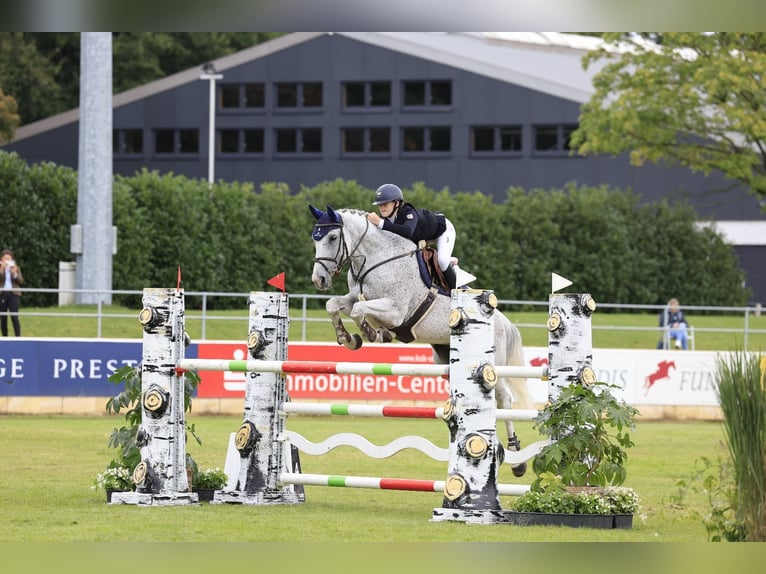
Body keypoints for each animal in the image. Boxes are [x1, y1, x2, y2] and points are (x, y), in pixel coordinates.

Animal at [310, 206, 536, 476]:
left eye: (333, 237)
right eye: (314, 238)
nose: (319, 280)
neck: (376, 258)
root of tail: (501, 319)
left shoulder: (395, 310)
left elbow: (359, 311)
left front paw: (372, 333)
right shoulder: (356, 297)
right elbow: (334, 304)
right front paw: (349, 338)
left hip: (492, 365)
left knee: (504, 399)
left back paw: (516, 459)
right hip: (447, 362)